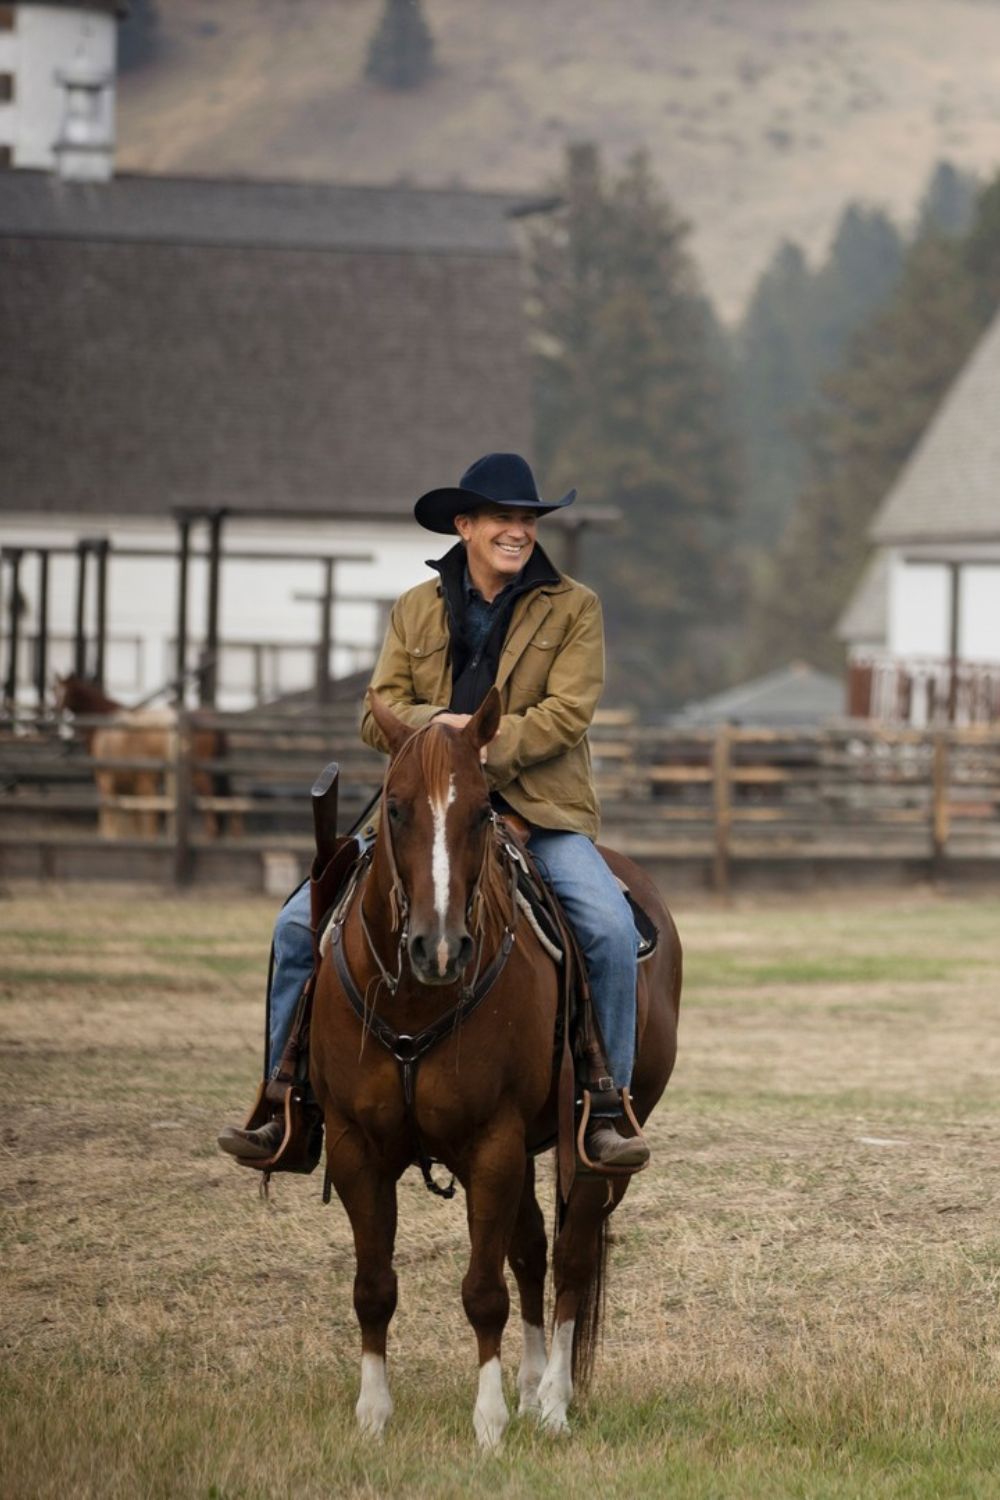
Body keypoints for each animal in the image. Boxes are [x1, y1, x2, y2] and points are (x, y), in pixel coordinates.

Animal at [313, 687, 680, 1440]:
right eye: (395, 807)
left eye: (481, 810)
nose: (438, 946)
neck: (419, 1001)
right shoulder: (356, 1146)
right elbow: (373, 1287)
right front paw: (373, 1415)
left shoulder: (492, 1146)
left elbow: (484, 1290)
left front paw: (488, 1421)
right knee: (533, 1250)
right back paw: (534, 1385)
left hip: (588, 1152)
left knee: (570, 1256)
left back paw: (554, 1403)